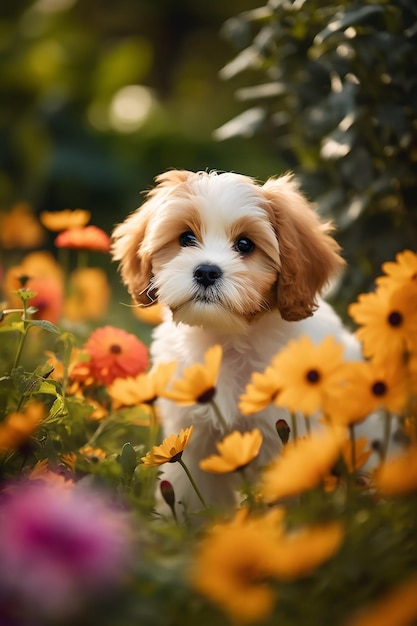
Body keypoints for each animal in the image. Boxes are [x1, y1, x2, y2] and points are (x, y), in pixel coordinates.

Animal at [112, 168, 362, 516]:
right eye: (186, 238)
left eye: (245, 244)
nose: (206, 271)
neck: (225, 338)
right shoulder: (194, 440)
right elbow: (192, 491)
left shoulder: (278, 437)